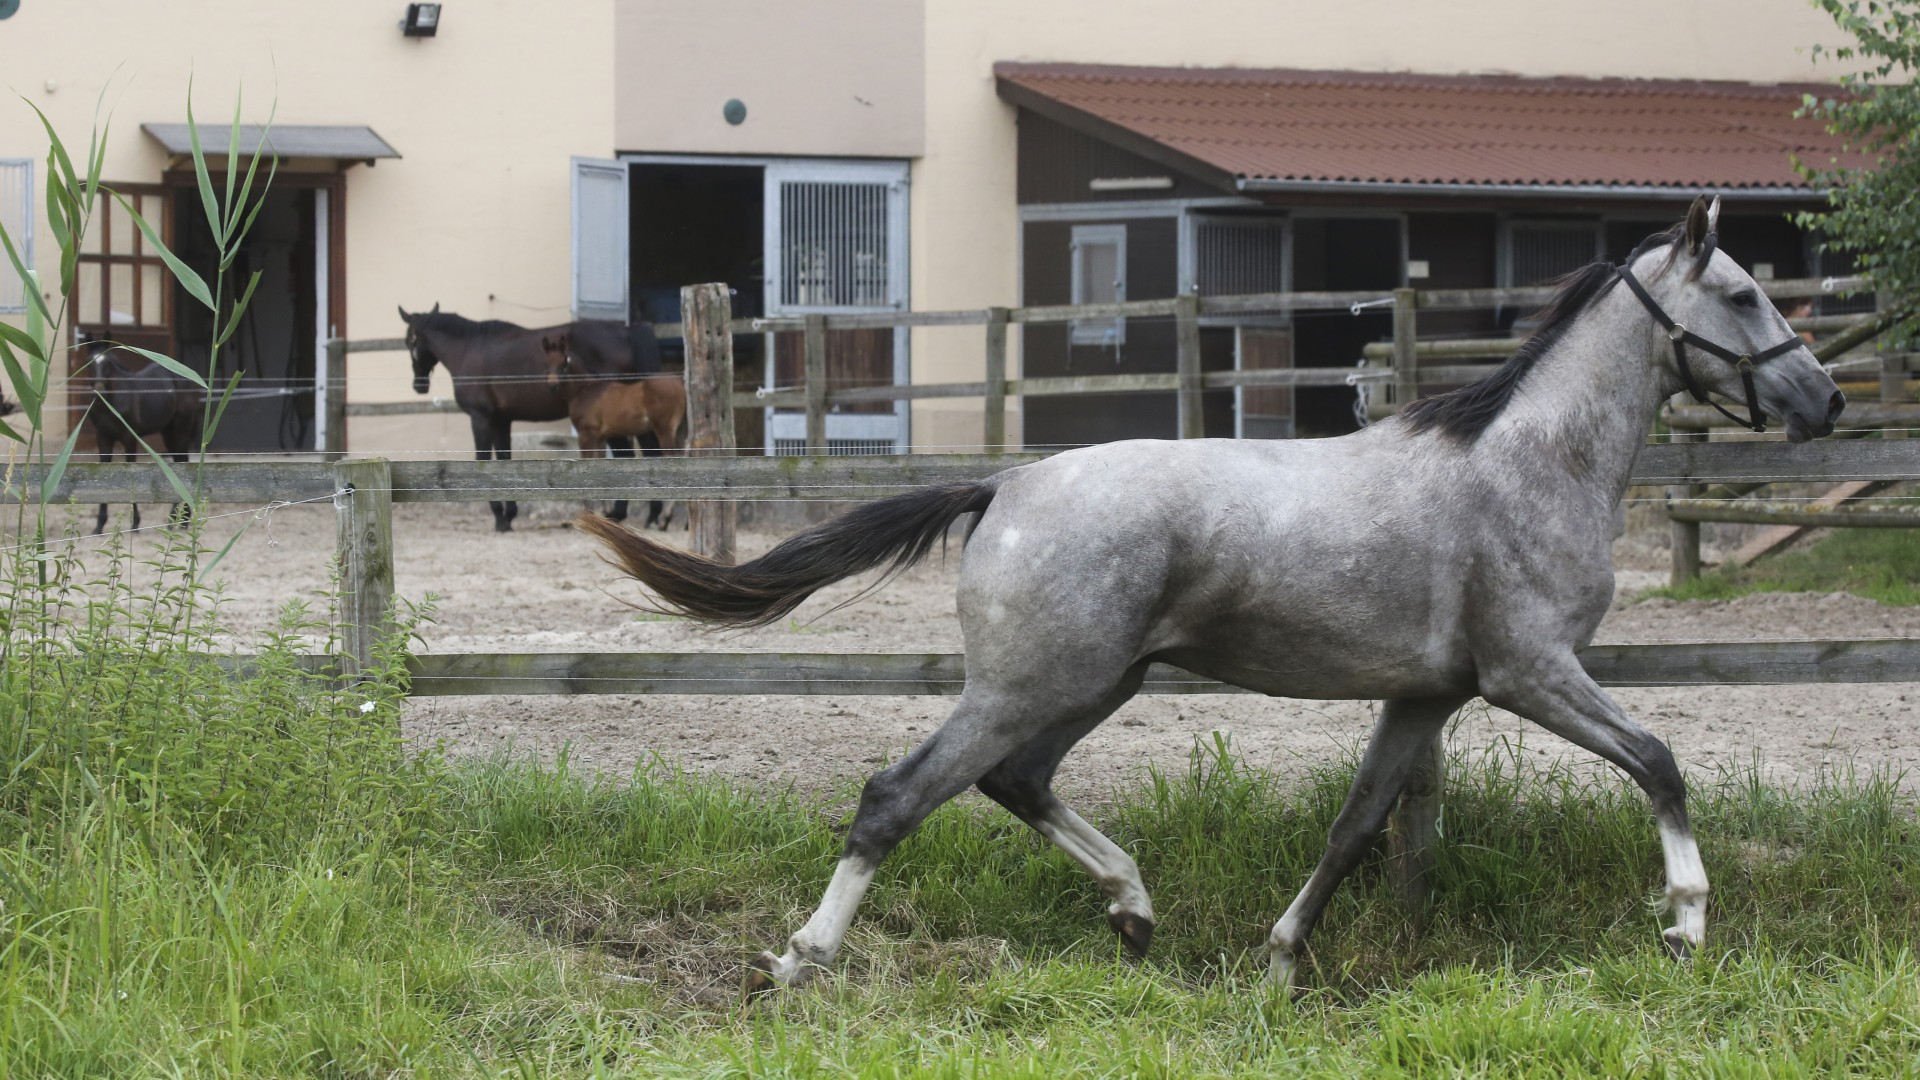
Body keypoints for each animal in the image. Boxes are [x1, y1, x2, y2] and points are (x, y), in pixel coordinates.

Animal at [395, 303, 660, 530]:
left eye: (410, 341)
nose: (419, 385)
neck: (468, 349)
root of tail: (628, 332)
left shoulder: (481, 417)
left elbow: (483, 459)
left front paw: (499, 518)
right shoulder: (501, 420)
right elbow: (504, 459)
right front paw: (509, 515)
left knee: (630, 455)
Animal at [545, 330, 687, 526]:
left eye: (563, 362)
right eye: (546, 362)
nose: (552, 385)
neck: (587, 391)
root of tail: (679, 383)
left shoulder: (586, 434)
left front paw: (589, 512)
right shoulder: (600, 438)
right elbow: (598, 467)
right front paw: (604, 513)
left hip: (664, 430)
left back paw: (664, 518)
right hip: (679, 432)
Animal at [579, 197, 1843, 991]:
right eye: (1742, 295)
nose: (1823, 400)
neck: (1529, 465)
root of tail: (1005, 484)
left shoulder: (1427, 696)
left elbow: (1356, 826)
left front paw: (1281, 959)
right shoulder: (1533, 673)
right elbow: (1662, 765)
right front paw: (1686, 924)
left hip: (1099, 682)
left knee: (1014, 783)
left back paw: (1135, 911)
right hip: (1035, 683)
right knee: (900, 795)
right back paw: (803, 957)